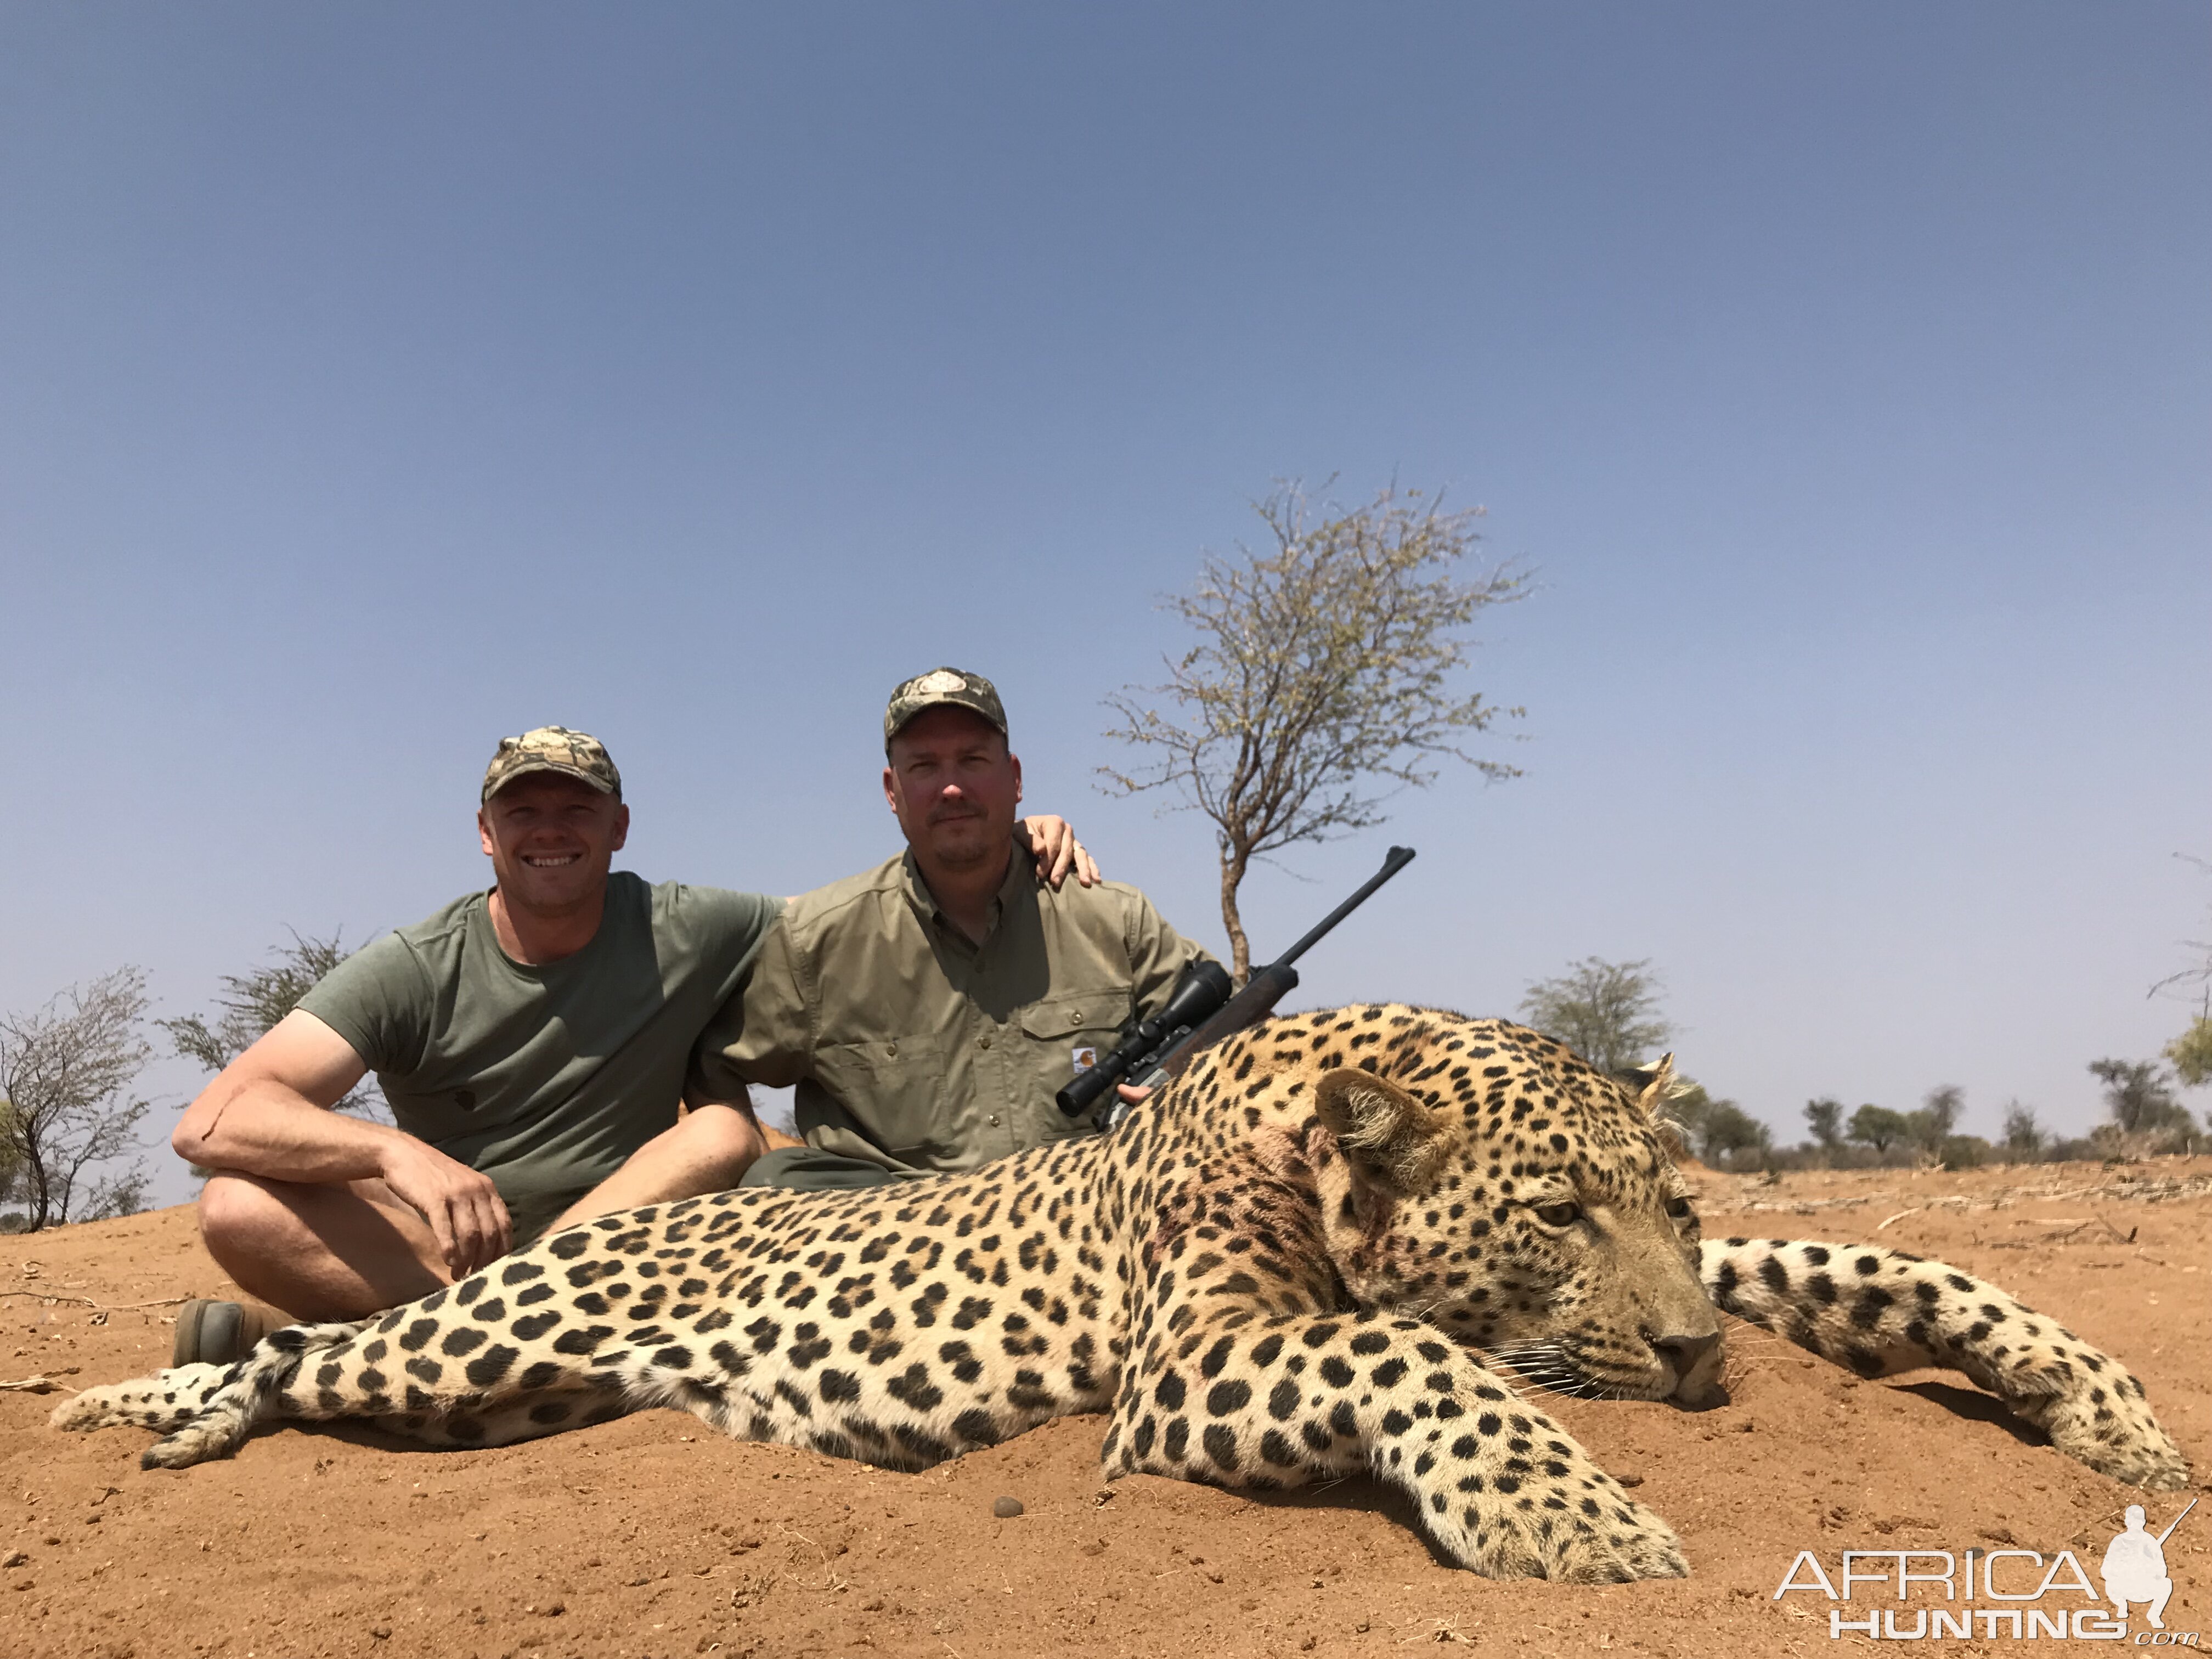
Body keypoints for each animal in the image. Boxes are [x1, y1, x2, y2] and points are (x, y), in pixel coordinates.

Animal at [56, 1013, 2194, 1583]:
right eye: (1554, 1213)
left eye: (1663, 1204)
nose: (1690, 1367)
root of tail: (595, 1230)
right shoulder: (1203, 1360)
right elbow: (1407, 1343)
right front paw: (1573, 1515)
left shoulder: (1748, 1264)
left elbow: (1874, 1256)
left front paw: (2107, 1405)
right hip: (482, 1330)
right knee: (309, 1346)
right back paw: (129, 1412)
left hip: (533, 1381)